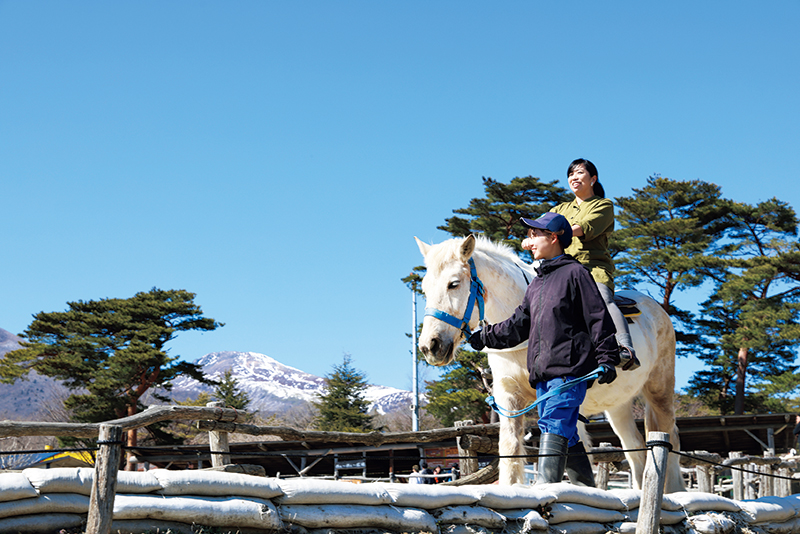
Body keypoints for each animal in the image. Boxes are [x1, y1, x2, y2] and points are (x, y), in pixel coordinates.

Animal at [415, 234, 684, 492]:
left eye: (454, 284)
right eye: (425, 289)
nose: (430, 346)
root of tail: (656, 309)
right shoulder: (508, 396)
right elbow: (510, 447)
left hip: (659, 390)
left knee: (669, 439)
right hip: (618, 406)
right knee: (635, 449)